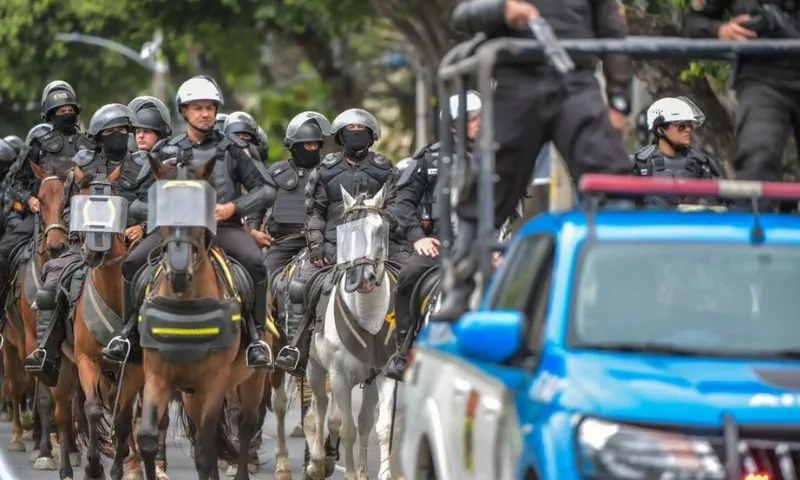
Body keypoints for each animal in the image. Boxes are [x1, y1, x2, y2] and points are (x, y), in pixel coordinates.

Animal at [139, 155, 270, 480]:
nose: (178, 273)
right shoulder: (158, 376)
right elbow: (147, 437)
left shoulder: (215, 382)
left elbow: (205, 449)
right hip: (190, 394)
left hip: (252, 380)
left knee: (245, 425)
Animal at [304, 187, 396, 480]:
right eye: (345, 229)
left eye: (378, 229)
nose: (363, 279)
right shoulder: (339, 376)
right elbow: (346, 430)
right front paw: (351, 473)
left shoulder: (384, 374)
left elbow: (381, 428)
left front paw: (379, 473)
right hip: (314, 368)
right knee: (321, 407)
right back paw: (316, 462)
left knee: (363, 420)